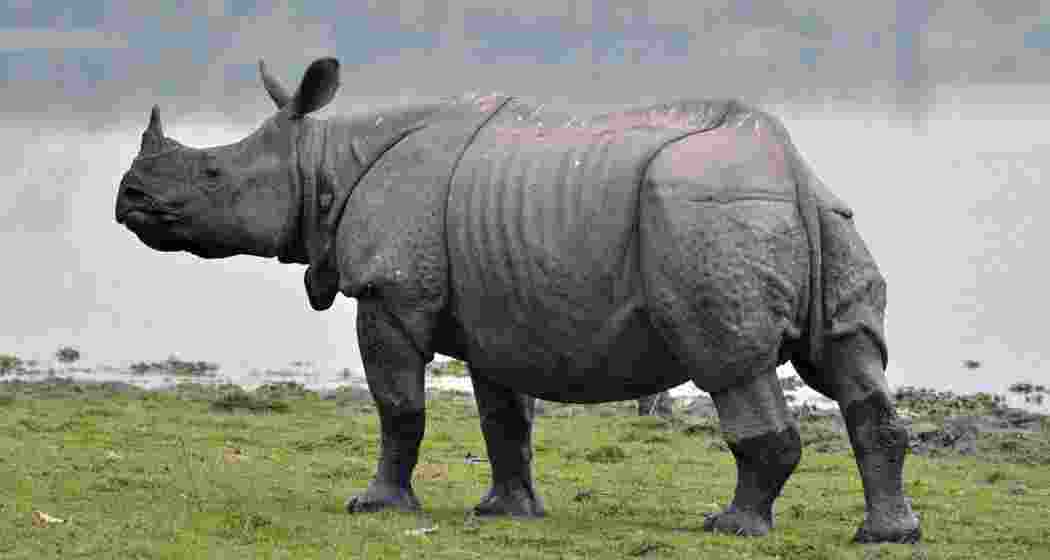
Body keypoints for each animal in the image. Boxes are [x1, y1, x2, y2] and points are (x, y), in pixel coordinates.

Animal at [115, 57, 920, 543]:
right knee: (848, 362)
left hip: (703, 215)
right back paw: (887, 536)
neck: (322, 163)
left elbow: (398, 408)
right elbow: (504, 420)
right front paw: (504, 513)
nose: (128, 199)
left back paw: (730, 526)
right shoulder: (494, 306)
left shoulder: (390, 293)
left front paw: (375, 506)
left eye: (212, 174)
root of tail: (787, 169)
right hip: (822, 216)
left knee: (730, 363)